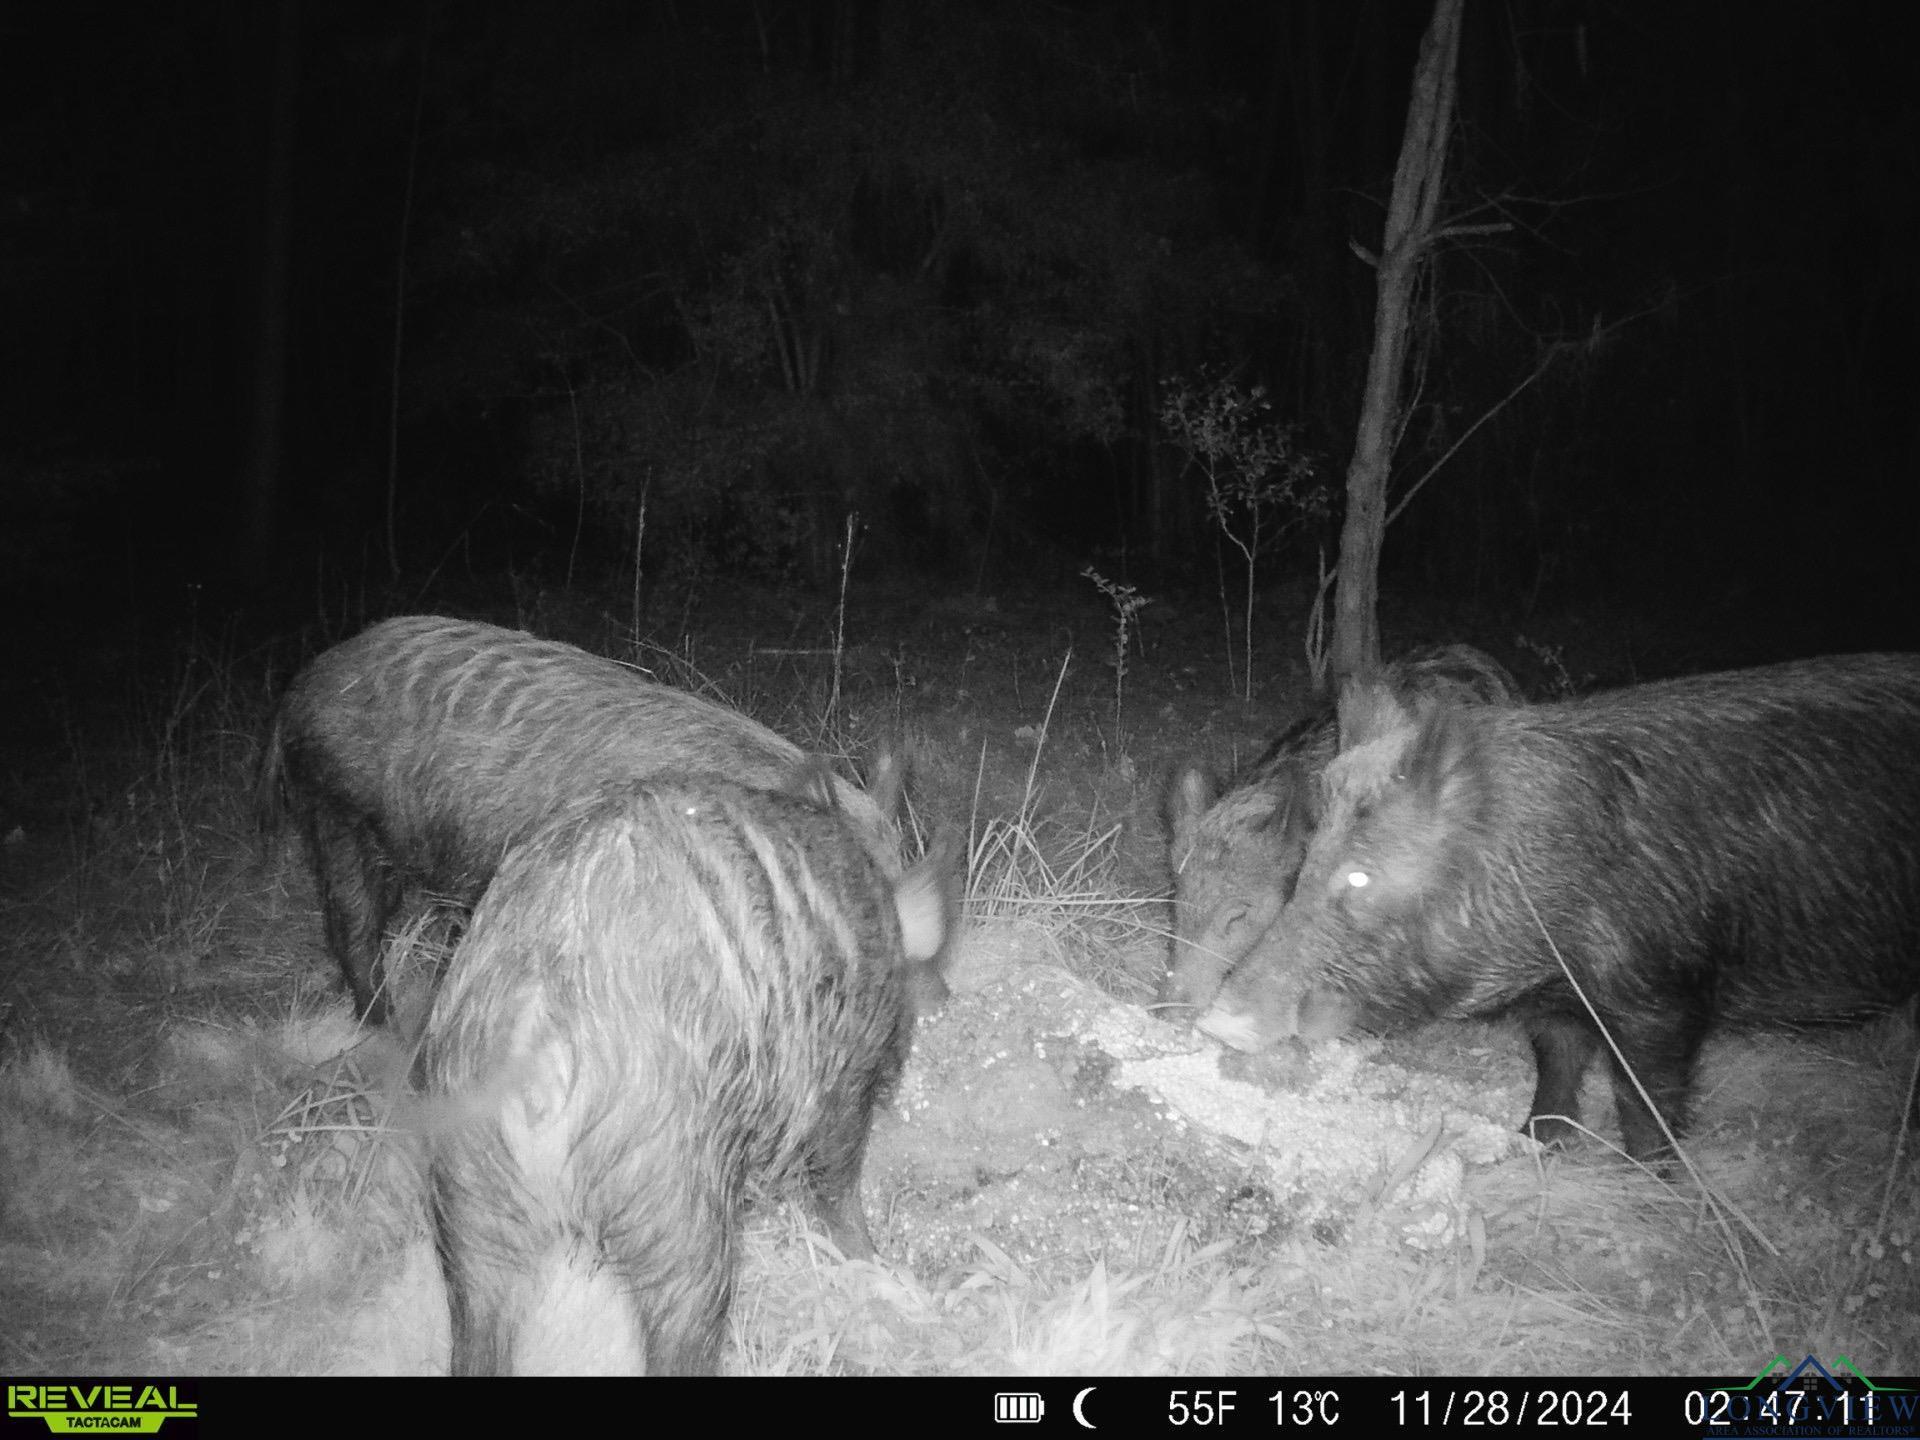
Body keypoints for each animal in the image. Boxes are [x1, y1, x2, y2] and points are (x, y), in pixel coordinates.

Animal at [424, 779, 956, 1374]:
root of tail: (537, 1023)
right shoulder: (844, 1069)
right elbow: (836, 1180)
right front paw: (877, 1265)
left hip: (468, 1197)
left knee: (477, 1336)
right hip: (672, 1194)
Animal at [1198, 652, 1920, 1159]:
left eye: (1360, 876)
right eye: (1305, 865)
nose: (1214, 1020)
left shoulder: (1668, 991)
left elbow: (1644, 1101)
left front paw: (1649, 1184)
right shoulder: (1558, 999)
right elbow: (1557, 1065)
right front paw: (1533, 1144)